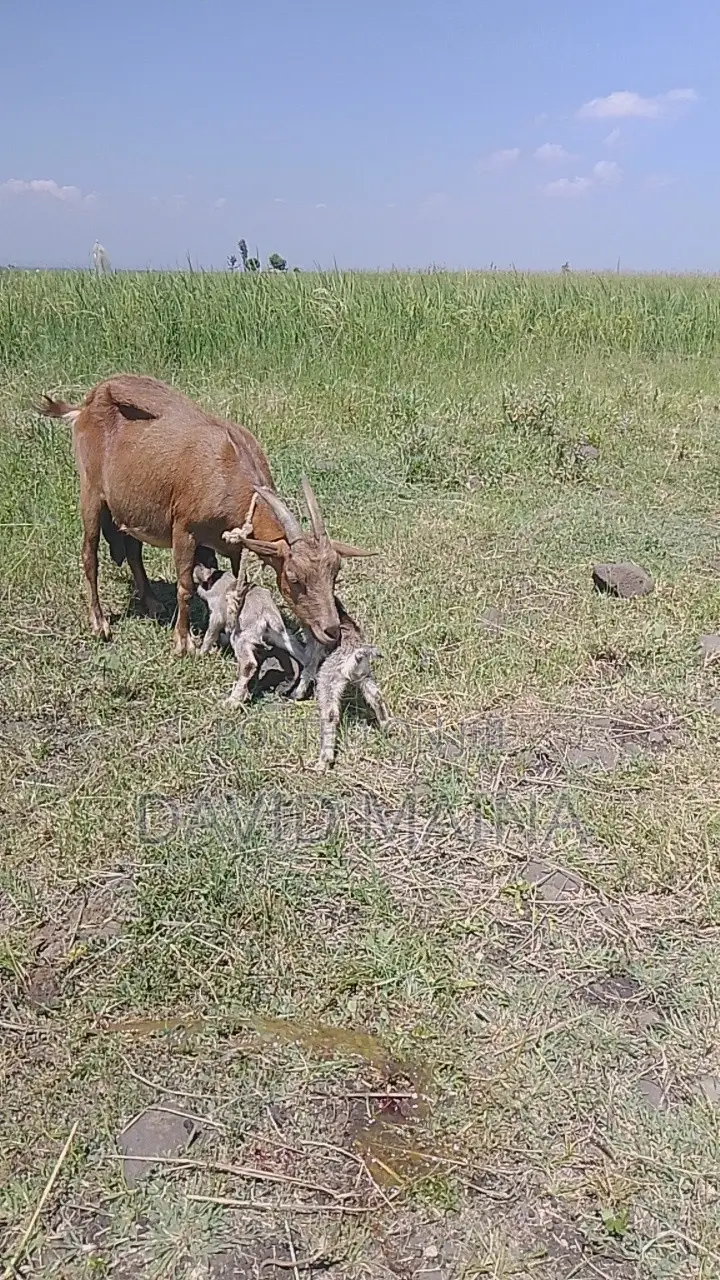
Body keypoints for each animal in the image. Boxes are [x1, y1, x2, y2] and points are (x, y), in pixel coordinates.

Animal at [38, 375, 374, 655]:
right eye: (293, 577)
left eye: (335, 573)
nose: (331, 631)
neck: (228, 471)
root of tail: (86, 404)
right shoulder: (184, 529)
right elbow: (185, 587)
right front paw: (183, 641)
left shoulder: (236, 544)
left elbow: (241, 585)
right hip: (91, 490)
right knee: (89, 554)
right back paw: (100, 624)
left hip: (131, 505)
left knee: (132, 547)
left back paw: (152, 602)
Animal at [192, 563, 305, 703]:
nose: (198, 565)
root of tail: (267, 612)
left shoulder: (217, 616)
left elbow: (210, 635)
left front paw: (201, 653)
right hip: (280, 637)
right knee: (301, 653)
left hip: (240, 638)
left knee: (249, 665)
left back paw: (232, 701)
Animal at [293, 597, 391, 772]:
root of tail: (356, 653)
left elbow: (309, 665)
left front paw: (299, 692)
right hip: (363, 674)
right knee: (376, 696)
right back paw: (386, 725)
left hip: (330, 679)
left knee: (330, 714)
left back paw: (324, 759)